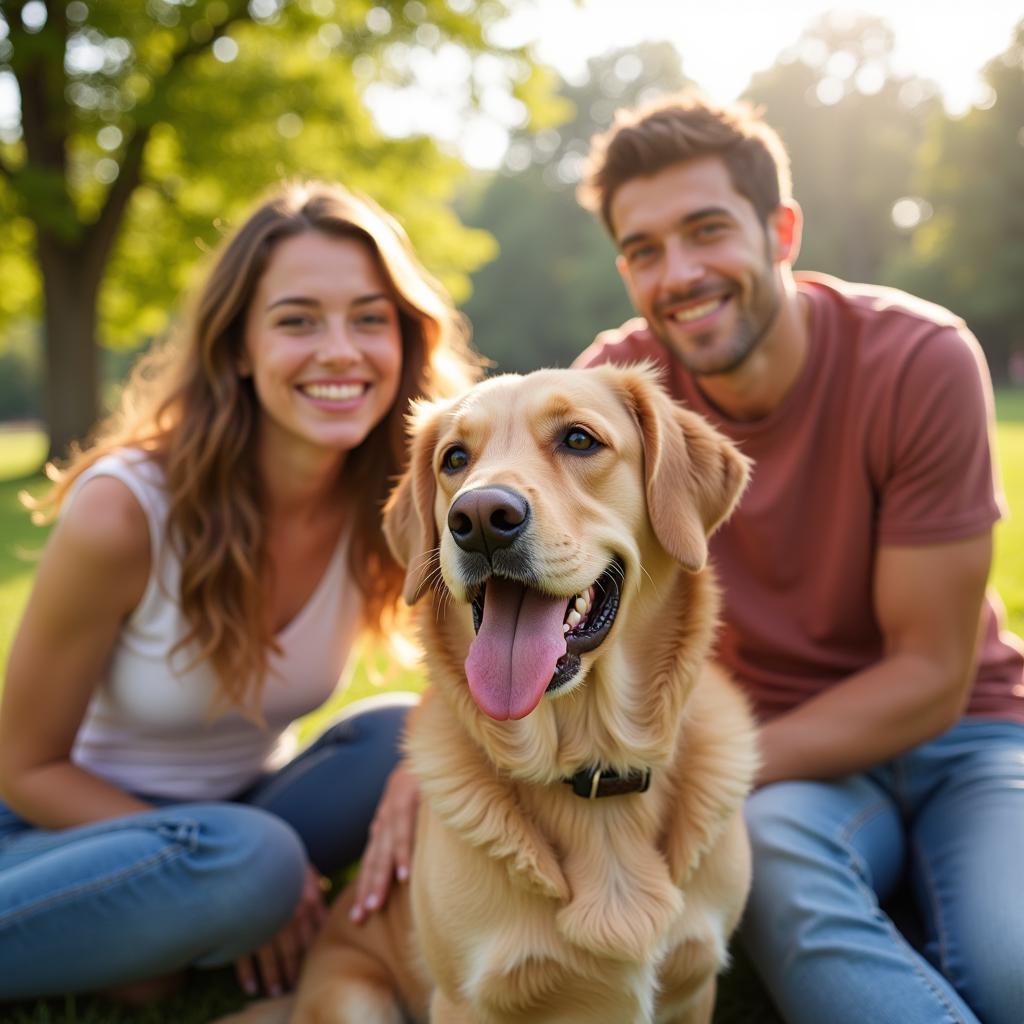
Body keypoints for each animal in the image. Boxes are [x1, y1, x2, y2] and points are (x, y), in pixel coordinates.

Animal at [222, 366, 761, 1024]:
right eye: (455, 458)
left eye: (579, 440)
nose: (478, 517)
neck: (593, 770)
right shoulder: (466, 1000)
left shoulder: (692, 989)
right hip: (353, 996)